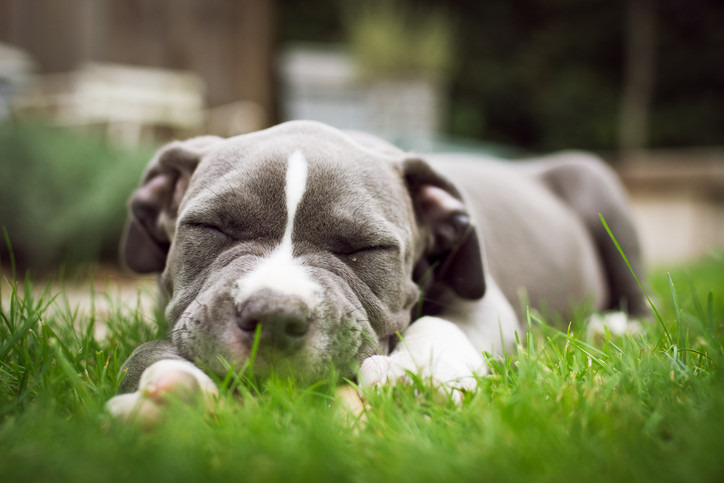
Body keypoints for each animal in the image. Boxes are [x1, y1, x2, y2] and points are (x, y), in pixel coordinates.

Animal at [104, 119, 640, 418]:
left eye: (364, 248)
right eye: (212, 227)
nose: (274, 314)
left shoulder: (487, 301)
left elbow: (444, 325)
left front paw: (425, 373)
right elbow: (147, 352)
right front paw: (173, 383)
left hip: (597, 186)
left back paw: (615, 327)